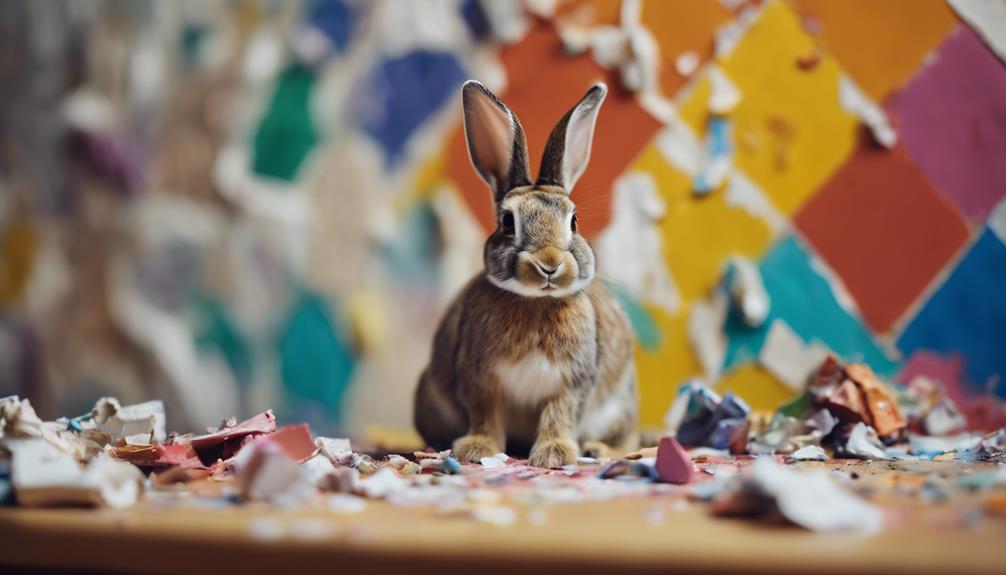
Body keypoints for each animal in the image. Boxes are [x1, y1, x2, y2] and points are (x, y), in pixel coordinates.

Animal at [413, 80, 639, 468]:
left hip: (618, 407)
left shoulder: (571, 384)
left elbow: (559, 414)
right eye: (508, 221)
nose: (549, 263)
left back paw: (599, 450)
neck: (536, 302)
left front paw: (554, 455)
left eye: (574, 221)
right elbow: (485, 414)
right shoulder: (481, 380)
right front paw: (477, 449)